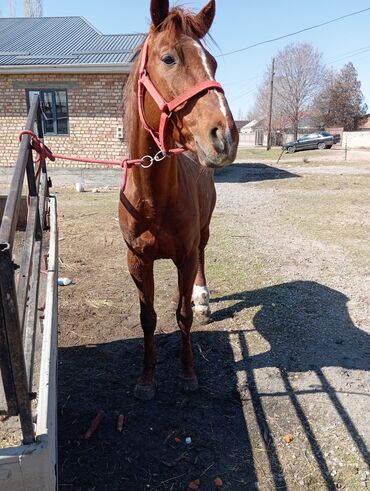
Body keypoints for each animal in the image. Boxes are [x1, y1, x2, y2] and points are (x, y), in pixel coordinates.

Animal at [120, 0, 238, 400]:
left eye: (213, 63)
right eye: (169, 58)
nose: (225, 137)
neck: (153, 200)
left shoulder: (184, 254)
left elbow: (183, 317)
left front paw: (187, 373)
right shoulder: (138, 261)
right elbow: (148, 318)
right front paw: (145, 379)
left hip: (202, 234)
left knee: (200, 262)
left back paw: (201, 298)